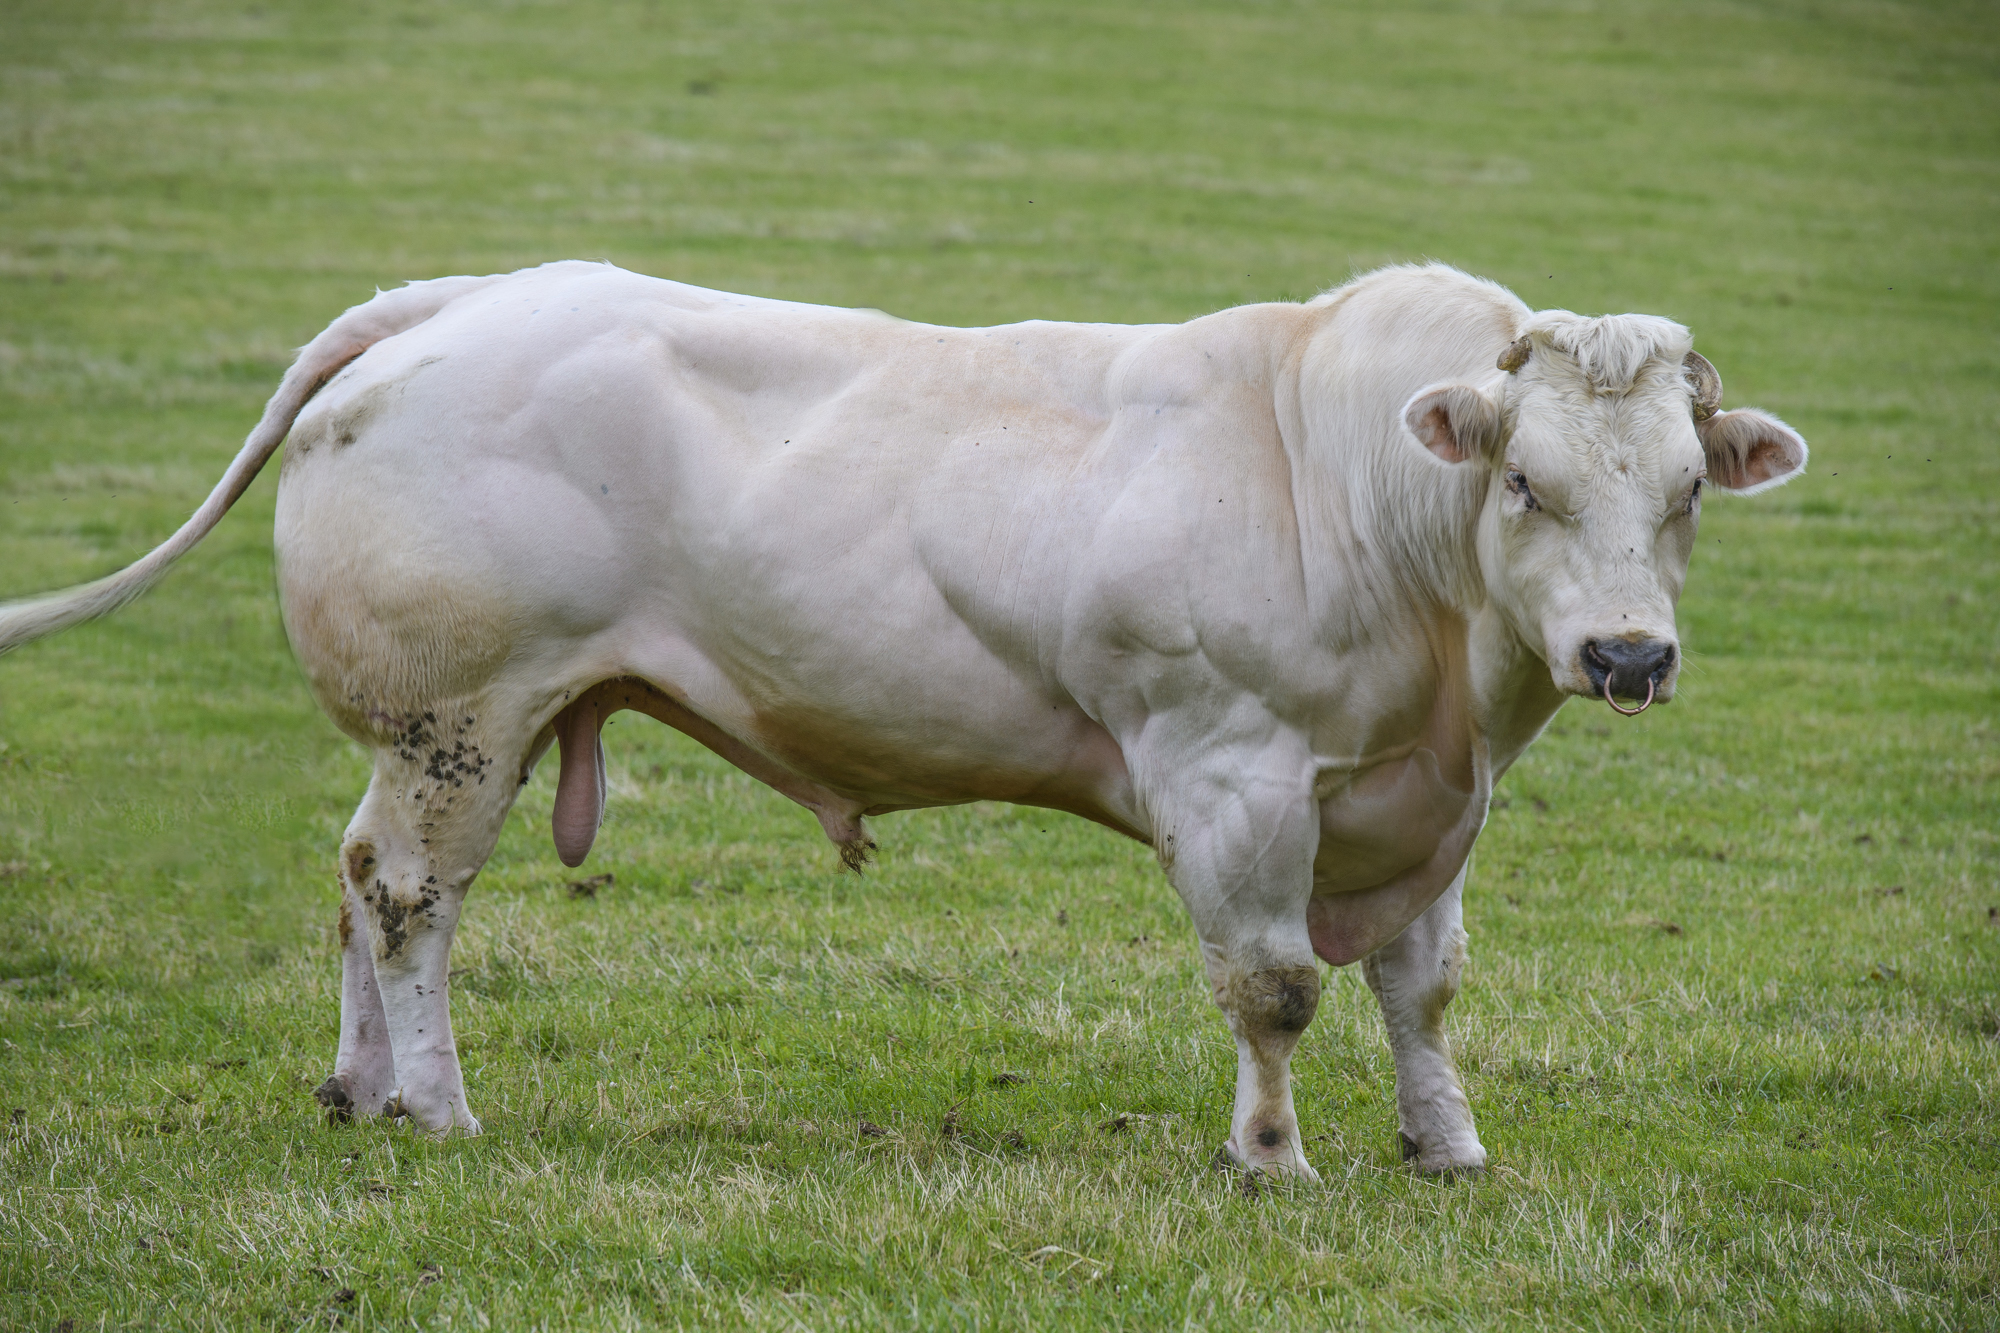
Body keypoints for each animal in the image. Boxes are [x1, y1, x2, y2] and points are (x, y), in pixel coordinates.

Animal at [0, 260, 1808, 1176]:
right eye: (1526, 480)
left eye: (1680, 492)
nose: (1628, 655)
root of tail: (457, 301)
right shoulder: (1233, 777)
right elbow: (1278, 985)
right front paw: (1271, 1156)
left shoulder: (1430, 805)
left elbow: (1421, 987)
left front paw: (1446, 1146)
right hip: (462, 713)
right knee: (406, 898)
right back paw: (437, 1104)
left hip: (428, 733)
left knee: (355, 883)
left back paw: (359, 1086)